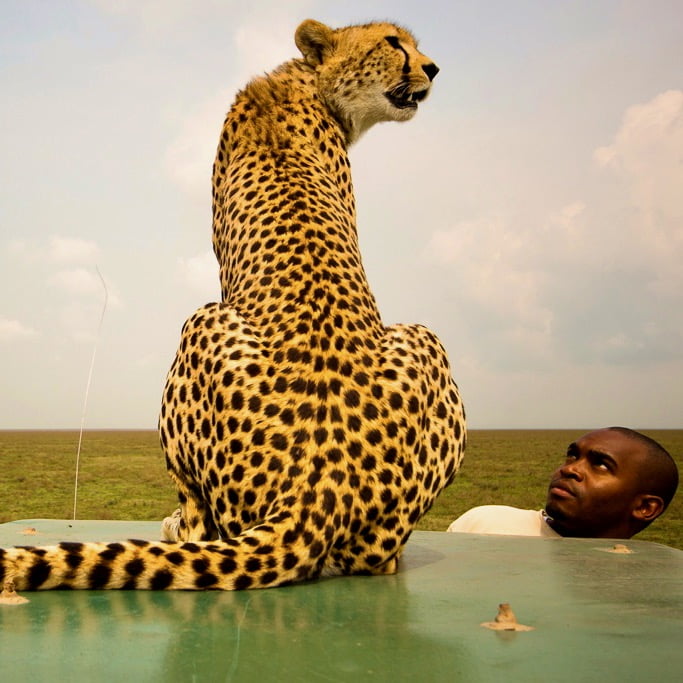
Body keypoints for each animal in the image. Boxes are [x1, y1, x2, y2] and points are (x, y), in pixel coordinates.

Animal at [0, 19, 465, 594]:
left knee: (204, 525)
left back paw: (175, 526)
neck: (306, 83)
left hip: (210, 322)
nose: (433, 68)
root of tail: (318, 490)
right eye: (392, 43)